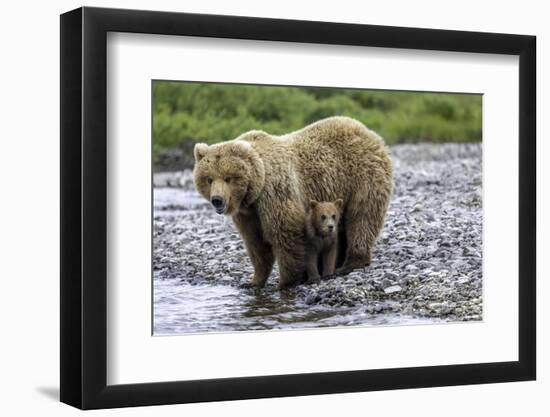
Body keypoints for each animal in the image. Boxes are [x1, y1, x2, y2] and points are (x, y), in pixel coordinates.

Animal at [193, 115, 392, 288]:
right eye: (209, 179)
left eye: (228, 178)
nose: (217, 200)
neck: (253, 191)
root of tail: (370, 132)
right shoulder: (249, 213)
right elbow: (256, 243)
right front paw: (253, 281)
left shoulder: (274, 192)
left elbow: (284, 232)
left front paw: (286, 281)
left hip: (361, 176)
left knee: (362, 217)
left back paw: (352, 262)